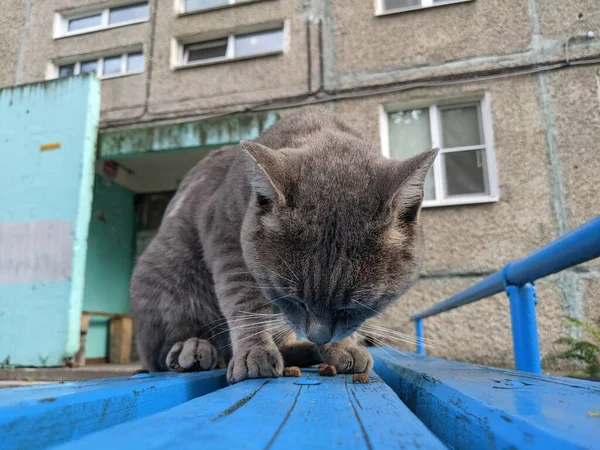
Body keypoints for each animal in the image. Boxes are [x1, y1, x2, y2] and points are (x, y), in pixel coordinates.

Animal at [131, 109, 436, 384]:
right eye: (292, 297)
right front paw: (253, 352)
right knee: (162, 351)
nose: (318, 336)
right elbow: (245, 303)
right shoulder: (226, 240)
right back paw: (192, 347)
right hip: (167, 275)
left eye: (353, 305)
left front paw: (343, 347)